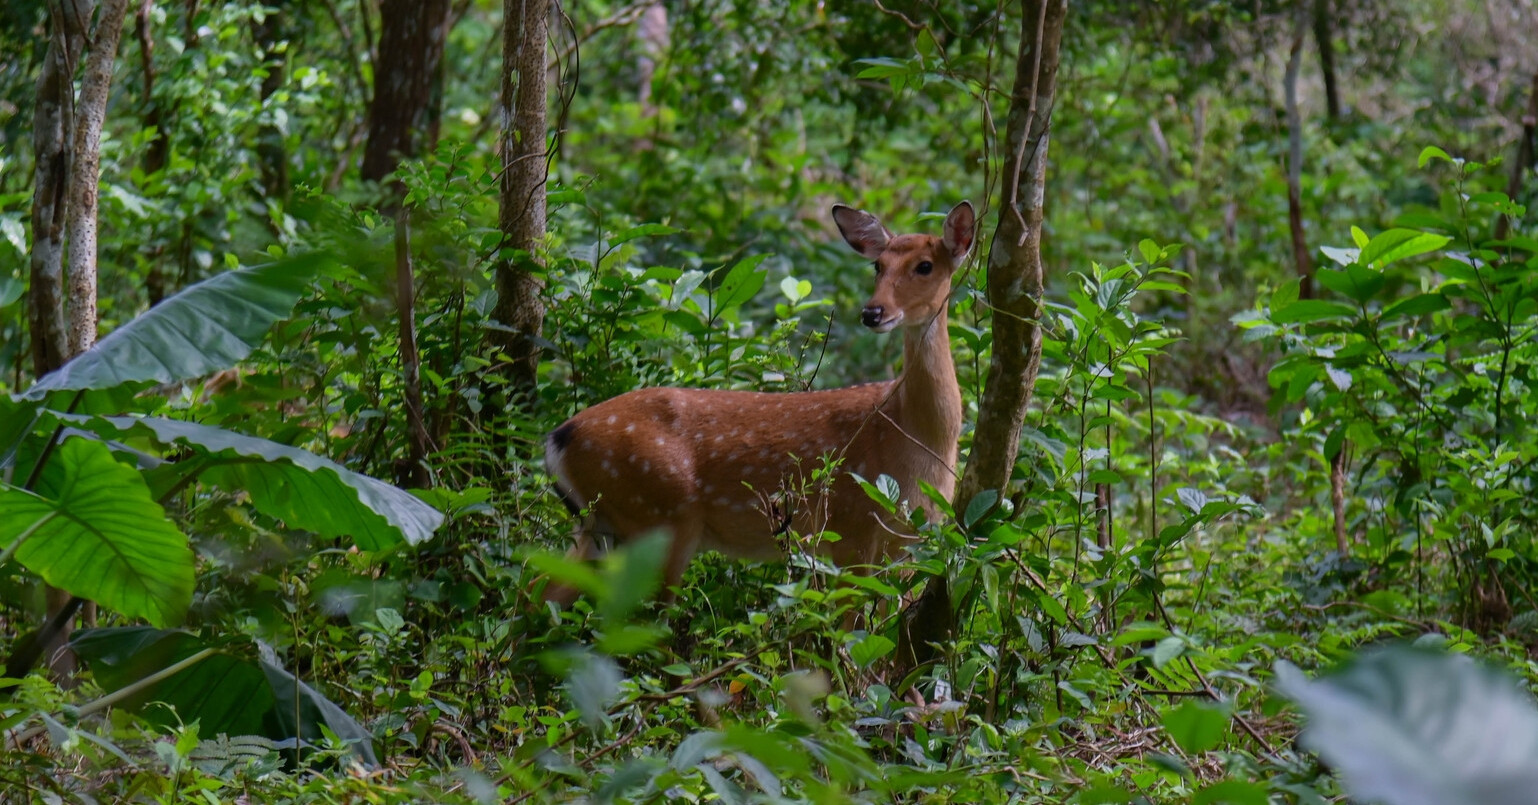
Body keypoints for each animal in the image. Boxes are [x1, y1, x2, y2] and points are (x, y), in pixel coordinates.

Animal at [541, 201, 974, 606]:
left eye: (925, 266)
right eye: (877, 266)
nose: (873, 312)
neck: (915, 436)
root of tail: (558, 436)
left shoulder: (911, 544)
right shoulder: (850, 529)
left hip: (600, 526)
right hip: (658, 516)